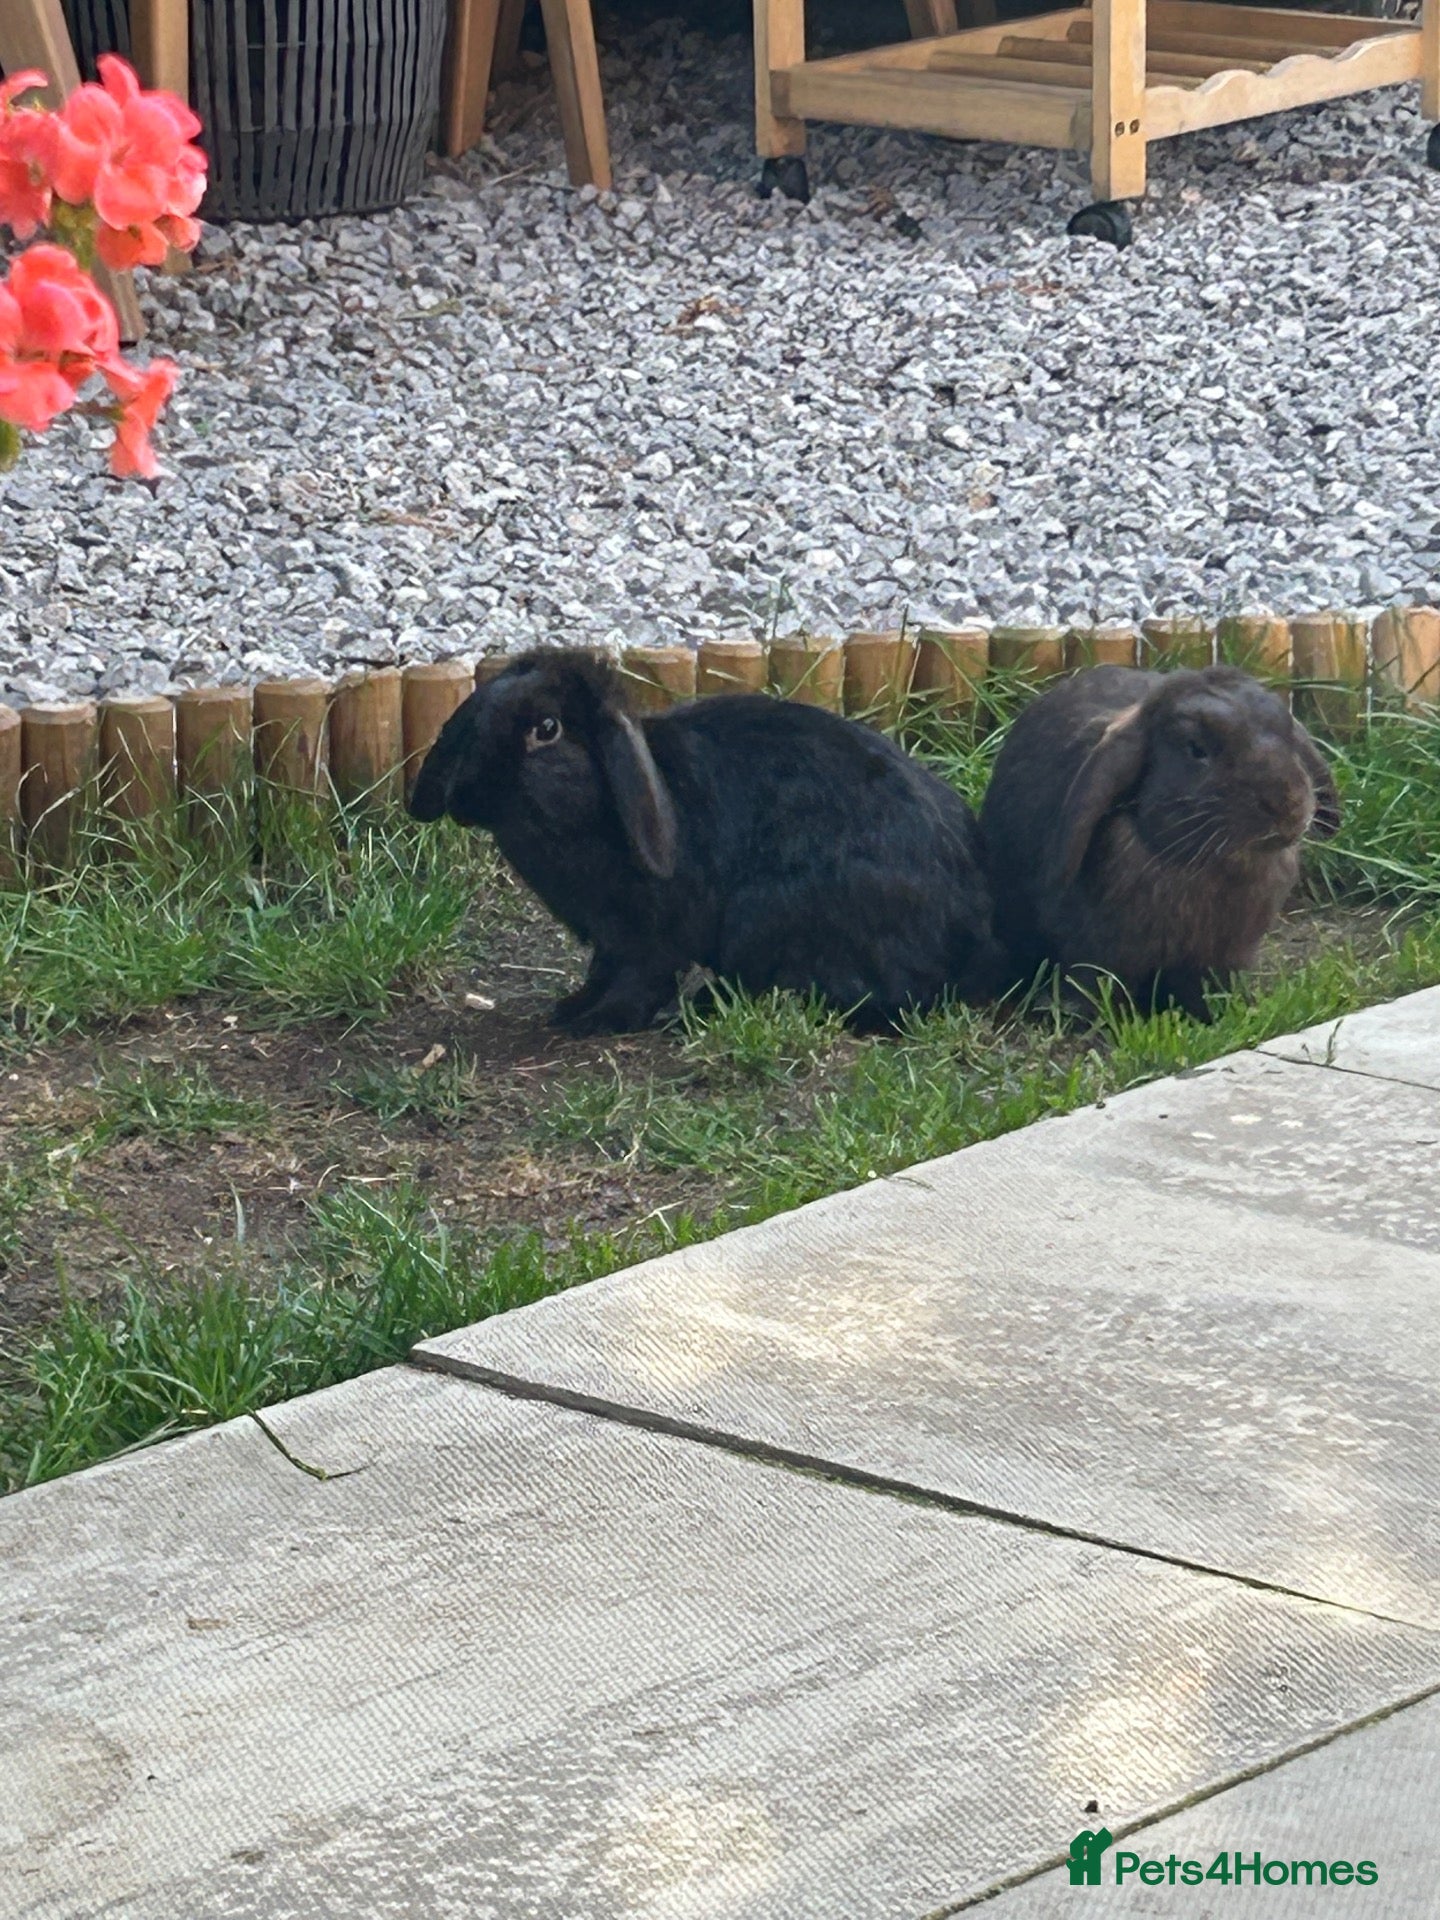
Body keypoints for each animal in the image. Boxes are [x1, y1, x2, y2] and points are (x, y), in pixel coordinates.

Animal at [408, 648, 1003, 1034]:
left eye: (547, 730)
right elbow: (602, 970)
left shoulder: (652, 935)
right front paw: (571, 1008)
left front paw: (598, 1022)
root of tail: (971, 924)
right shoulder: (610, 936)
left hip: (763, 918)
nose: (466, 799)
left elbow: (639, 977)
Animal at [979, 664, 1341, 1021]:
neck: (1205, 866)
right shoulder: (1093, 951)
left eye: (1289, 734)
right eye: (1195, 749)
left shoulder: (1222, 958)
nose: (1288, 805)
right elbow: (1091, 983)